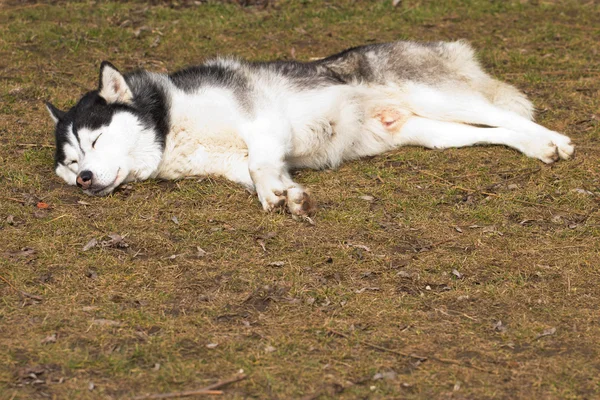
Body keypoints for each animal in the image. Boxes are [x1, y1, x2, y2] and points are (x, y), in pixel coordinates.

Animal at [45, 40, 572, 216]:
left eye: (94, 139)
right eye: (70, 163)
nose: (85, 179)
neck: (170, 124)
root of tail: (432, 44)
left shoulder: (262, 122)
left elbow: (260, 165)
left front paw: (275, 195)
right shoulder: (243, 158)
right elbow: (262, 173)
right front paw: (287, 196)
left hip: (436, 95)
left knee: (505, 114)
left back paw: (556, 140)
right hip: (437, 132)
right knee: (495, 130)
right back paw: (535, 147)